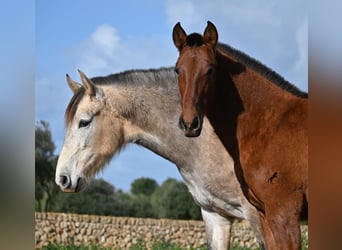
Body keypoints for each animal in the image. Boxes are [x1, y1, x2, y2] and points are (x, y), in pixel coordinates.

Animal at [172, 20, 308, 249]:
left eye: (210, 69)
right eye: (177, 70)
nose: (190, 124)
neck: (270, 124)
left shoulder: (284, 213)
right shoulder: (264, 214)